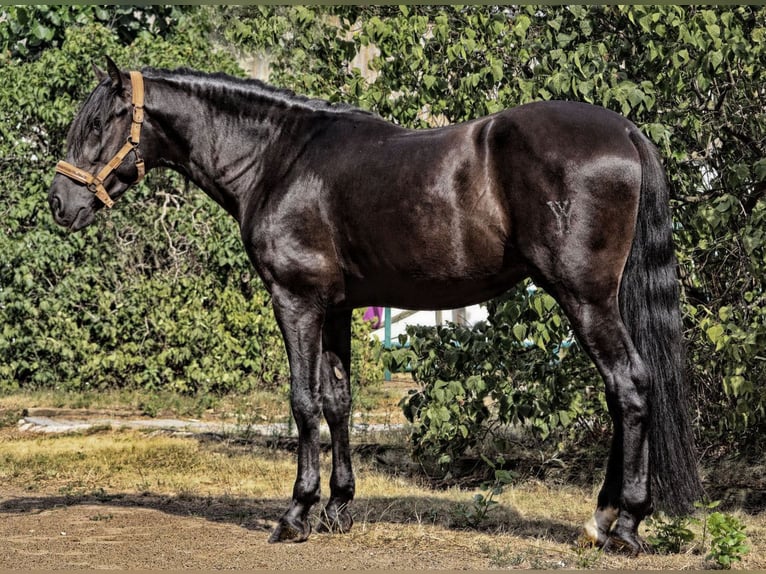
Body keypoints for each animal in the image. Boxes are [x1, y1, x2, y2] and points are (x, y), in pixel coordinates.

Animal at [49, 58, 704, 552]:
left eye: (99, 122)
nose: (59, 204)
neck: (278, 159)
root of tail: (625, 132)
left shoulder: (297, 300)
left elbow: (303, 402)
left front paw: (297, 514)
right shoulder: (337, 308)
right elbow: (339, 402)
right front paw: (338, 508)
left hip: (584, 297)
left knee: (629, 386)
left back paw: (624, 524)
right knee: (621, 391)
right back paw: (602, 516)